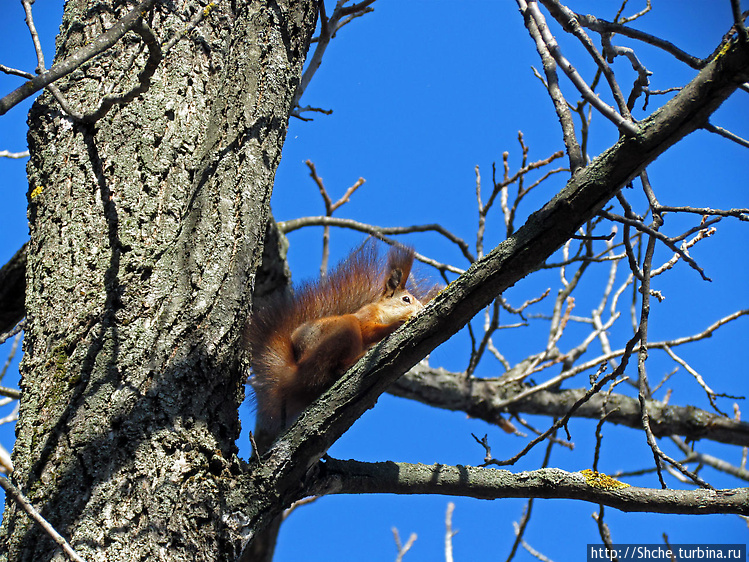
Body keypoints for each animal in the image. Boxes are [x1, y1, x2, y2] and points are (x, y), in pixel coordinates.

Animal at [245, 242, 436, 450]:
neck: (383, 311)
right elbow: (369, 331)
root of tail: (297, 372)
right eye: (406, 299)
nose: (420, 309)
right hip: (343, 329)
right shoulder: (365, 317)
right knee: (335, 367)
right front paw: (398, 323)